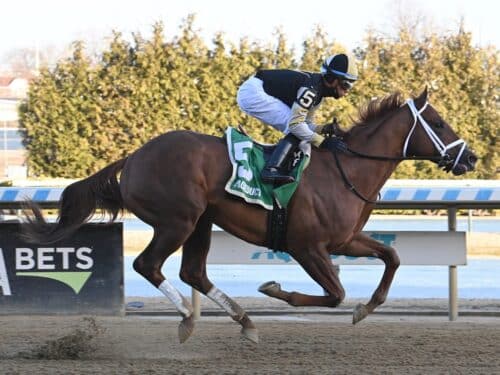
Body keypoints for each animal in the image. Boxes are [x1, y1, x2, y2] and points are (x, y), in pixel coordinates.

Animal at [22, 88, 476, 344]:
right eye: (437, 122)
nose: (469, 157)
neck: (344, 171)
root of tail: (134, 157)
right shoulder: (306, 246)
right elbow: (334, 293)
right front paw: (275, 289)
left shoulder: (344, 240)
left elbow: (391, 257)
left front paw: (367, 308)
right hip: (177, 220)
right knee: (147, 265)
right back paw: (188, 317)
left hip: (201, 222)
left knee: (193, 272)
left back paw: (244, 321)